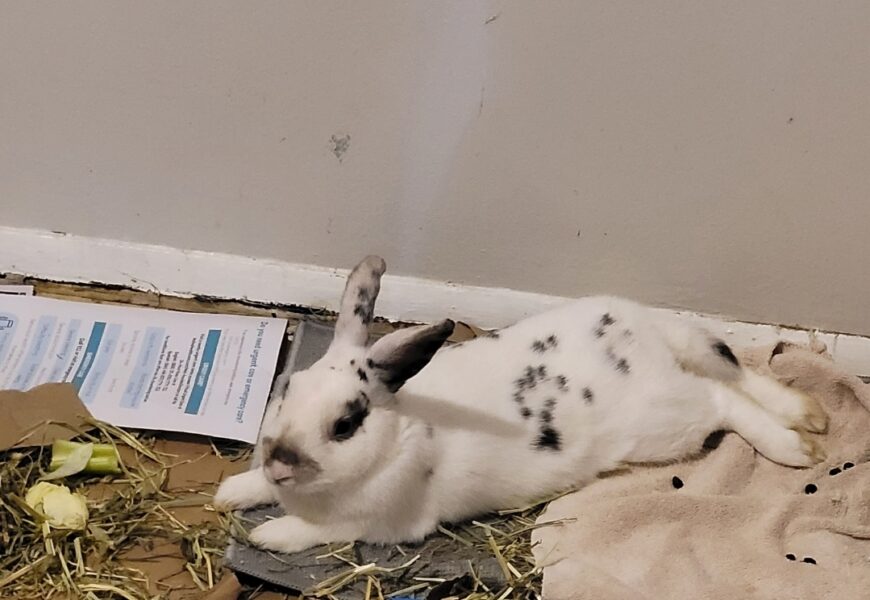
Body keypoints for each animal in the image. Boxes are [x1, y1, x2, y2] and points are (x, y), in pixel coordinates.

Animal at [214, 255, 828, 554]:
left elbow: (317, 532)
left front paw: (268, 535)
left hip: (664, 424)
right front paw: (232, 494)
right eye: (286, 390)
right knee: (738, 375)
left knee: (721, 398)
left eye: (345, 424)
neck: (399, 436)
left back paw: (796, 449)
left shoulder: (381, 524)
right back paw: (808, 416)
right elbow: (258, 490)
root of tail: (644, 333)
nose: (280, 462)